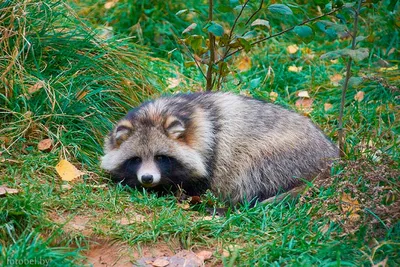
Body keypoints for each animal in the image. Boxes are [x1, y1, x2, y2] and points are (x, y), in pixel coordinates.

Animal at [100, 92, 338, 205]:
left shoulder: (210, 146)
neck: (156, 114)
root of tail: (332, 158)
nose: (148, 179)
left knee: (251, 170)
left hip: (283, 153)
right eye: (136, 159)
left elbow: (201, 181)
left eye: (161, 157)